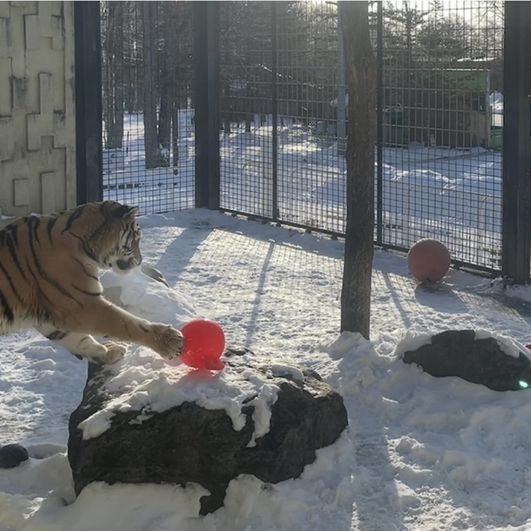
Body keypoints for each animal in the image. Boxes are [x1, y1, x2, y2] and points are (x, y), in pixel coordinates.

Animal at [0, 201, 185, 366]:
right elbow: (127, 324)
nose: (140, 261)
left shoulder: (52, 315)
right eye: (136, 239)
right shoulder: (82, 305)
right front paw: (170, 341)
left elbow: (80, 341)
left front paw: (108, 353)